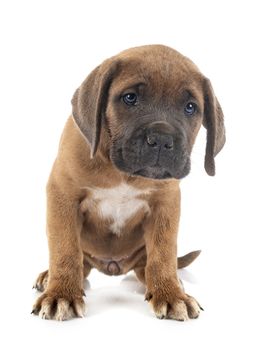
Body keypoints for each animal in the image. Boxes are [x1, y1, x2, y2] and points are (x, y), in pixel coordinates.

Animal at [31, 45, 225, 322]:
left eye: (190, 107)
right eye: (130, 98)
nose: (162, 139)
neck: (123, 173)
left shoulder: (166, 204)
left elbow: (163, 253)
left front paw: (170, 294)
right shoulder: (63, 194)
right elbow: (64, 248)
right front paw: (62, 294)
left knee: (149, 265)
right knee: (80, 261)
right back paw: (50, 277)